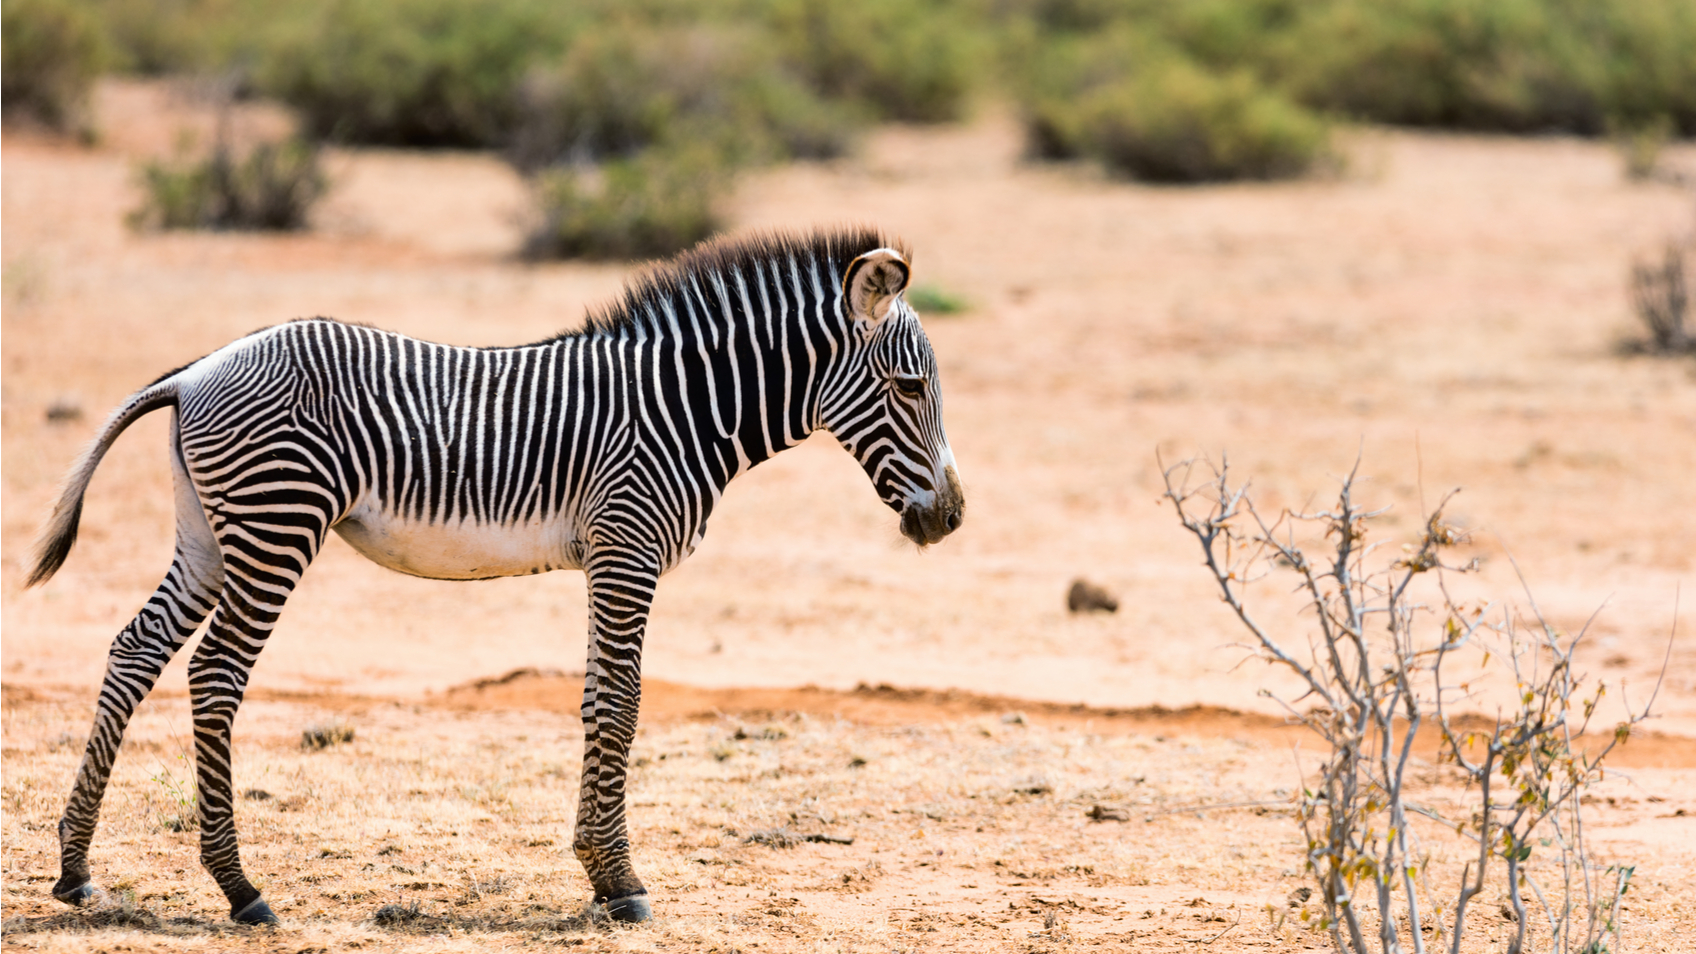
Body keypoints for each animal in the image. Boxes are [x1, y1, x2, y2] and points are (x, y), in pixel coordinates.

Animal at [26, 227, 964, 925]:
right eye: (910, 386)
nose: (951, 518)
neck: (683, 409)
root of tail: (196, 371)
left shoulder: (609, 558)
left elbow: (595, 698)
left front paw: (598, 870)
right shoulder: (629, 547)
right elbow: (622, 705)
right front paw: (623, 882)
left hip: (209, 535)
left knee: (134, 651)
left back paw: (75, 868)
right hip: (276, 525)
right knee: (216, 674)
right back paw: (240, 889)